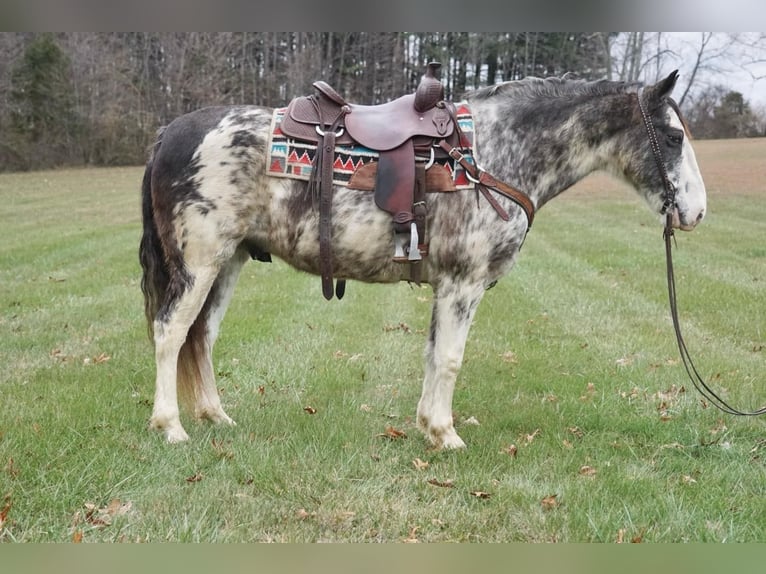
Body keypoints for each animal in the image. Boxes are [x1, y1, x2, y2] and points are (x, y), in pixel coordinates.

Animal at [140, 70, 708, 450]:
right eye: (673, 136)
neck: (492, 154)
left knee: (200, 336)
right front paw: (445, 433)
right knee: (170, 333)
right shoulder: (463, 283)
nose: (697, 211)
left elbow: (435, 355)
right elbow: (451, 358)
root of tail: (170, 133)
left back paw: (215, 416)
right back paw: (171, 427)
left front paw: (427, 427)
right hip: (198, 264)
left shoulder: (447, 287)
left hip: (228, 263)